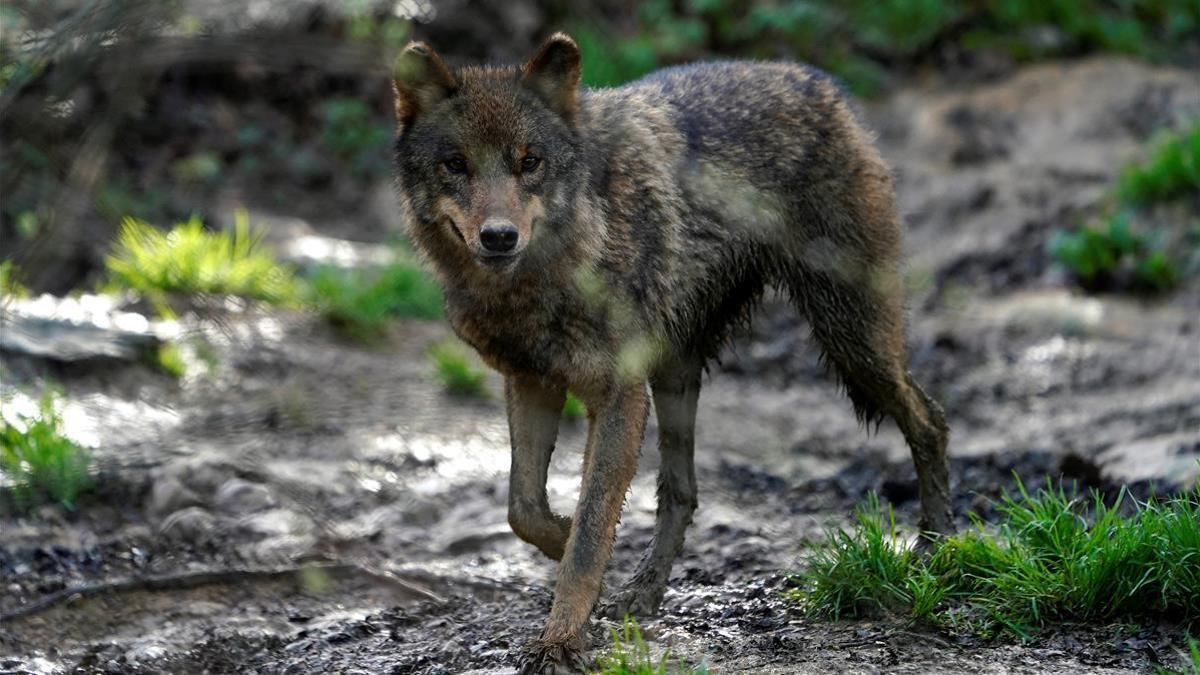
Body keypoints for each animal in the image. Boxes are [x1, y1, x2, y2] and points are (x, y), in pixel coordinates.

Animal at [393, 32, 955, 672]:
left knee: (931, 420)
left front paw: (560, 641)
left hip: (852, 341)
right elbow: (526, 509)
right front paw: (573, 557)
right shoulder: (533, 381)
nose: (499, 236)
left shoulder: (618, 394)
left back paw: (936, 547)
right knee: (681, 492)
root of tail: (817, 81)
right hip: (677, 372)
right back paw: (643, 591)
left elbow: (591, 528)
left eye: (528, 161)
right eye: (454, 164)